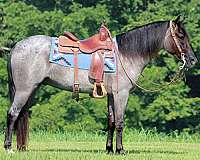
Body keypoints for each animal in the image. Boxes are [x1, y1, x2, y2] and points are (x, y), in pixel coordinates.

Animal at [3, 16, 198, 154]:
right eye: (181, 36)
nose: (193, 60)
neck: (126, 55)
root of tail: (16, 47)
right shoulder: (121, 94)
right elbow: (119, 121)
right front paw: (120, 150)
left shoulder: (111, 95)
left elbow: (110, 121)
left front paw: (109, 149)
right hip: (24, 90)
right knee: (12, 114)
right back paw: (8, 147)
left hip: (31, 90)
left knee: (18, 116)